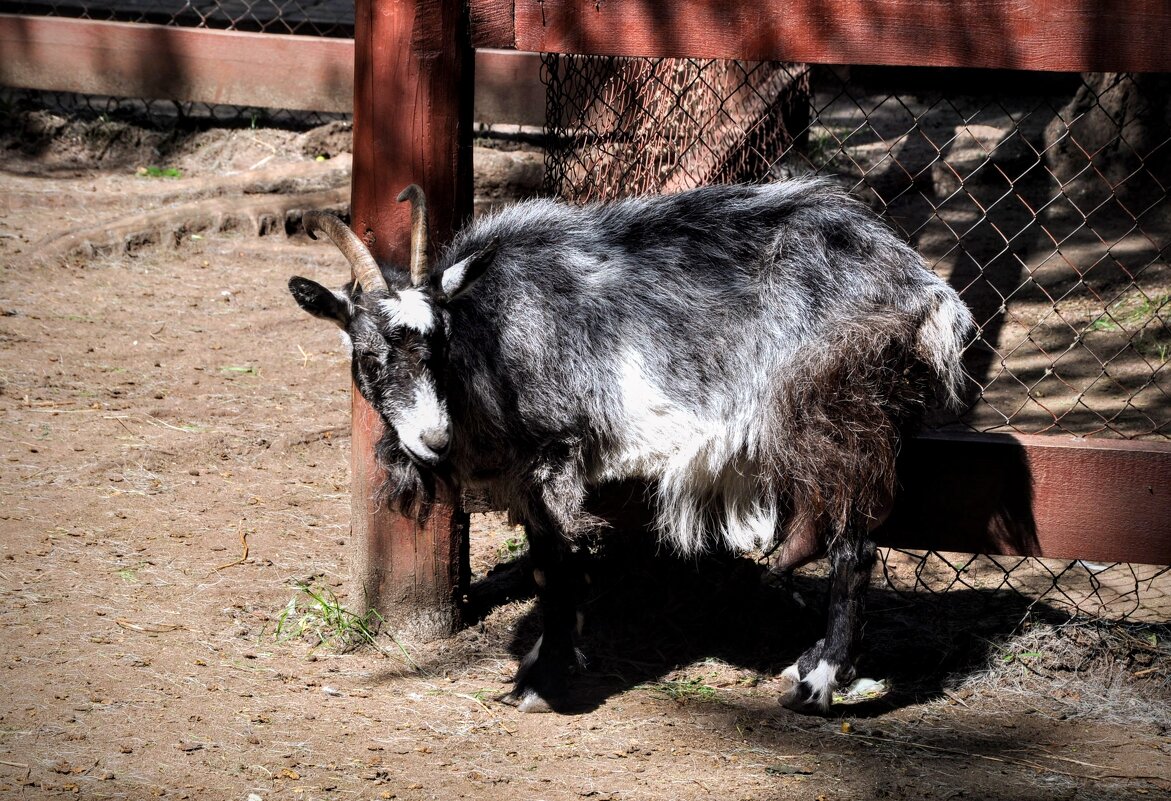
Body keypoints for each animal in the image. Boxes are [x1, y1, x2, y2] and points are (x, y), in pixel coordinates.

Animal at [288, 180, 974, 711]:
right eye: (369, 355)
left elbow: (555, 566)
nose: (433, 439)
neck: (495, 331)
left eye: (439, 346)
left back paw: (818, 684)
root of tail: (925, 289)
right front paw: (549, 654)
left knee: (855, 547)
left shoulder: (553, 457)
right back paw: (811, 664)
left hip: (841, 415)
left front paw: (542, 682)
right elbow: (545, 567)